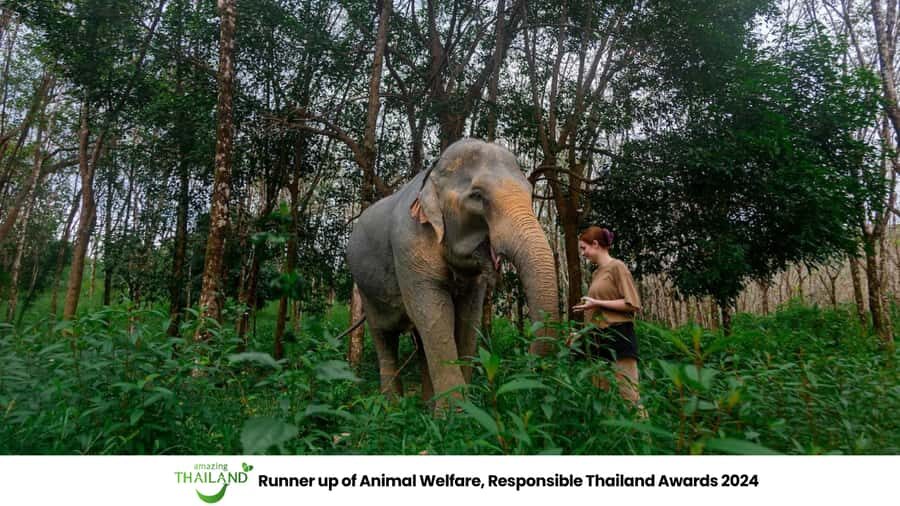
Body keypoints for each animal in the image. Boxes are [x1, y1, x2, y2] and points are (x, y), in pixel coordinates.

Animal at [346, 138, 559, 401]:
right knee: (384, 338)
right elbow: (435, 314)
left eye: (530, 194)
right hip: (366, 292)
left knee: (418, 340)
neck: (433, 174)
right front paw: (457, 411)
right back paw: (392, 407)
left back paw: (425, 406)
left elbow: (468, 318)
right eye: (477, 196)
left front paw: (465, 406)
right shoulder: (408, 247)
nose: (529, 363)